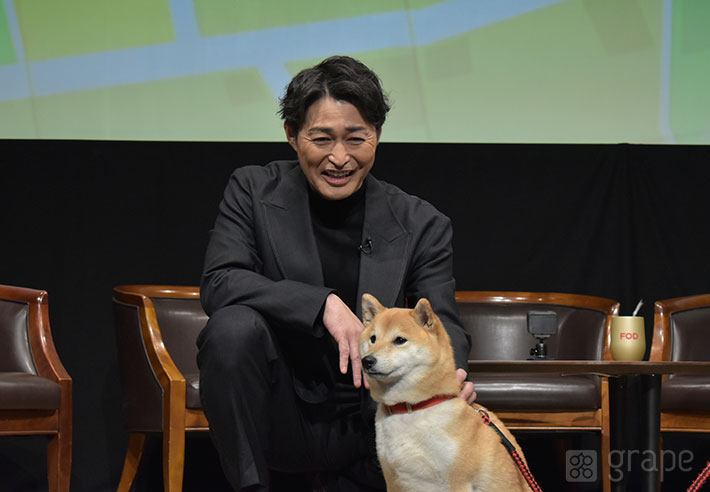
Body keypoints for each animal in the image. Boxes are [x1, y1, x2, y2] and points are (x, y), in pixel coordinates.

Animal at [364, 294, 532, 492]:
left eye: (399, 340)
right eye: (373, 339)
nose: (367, 360)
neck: (412, 408)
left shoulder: (458, 482)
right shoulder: (393, 481)